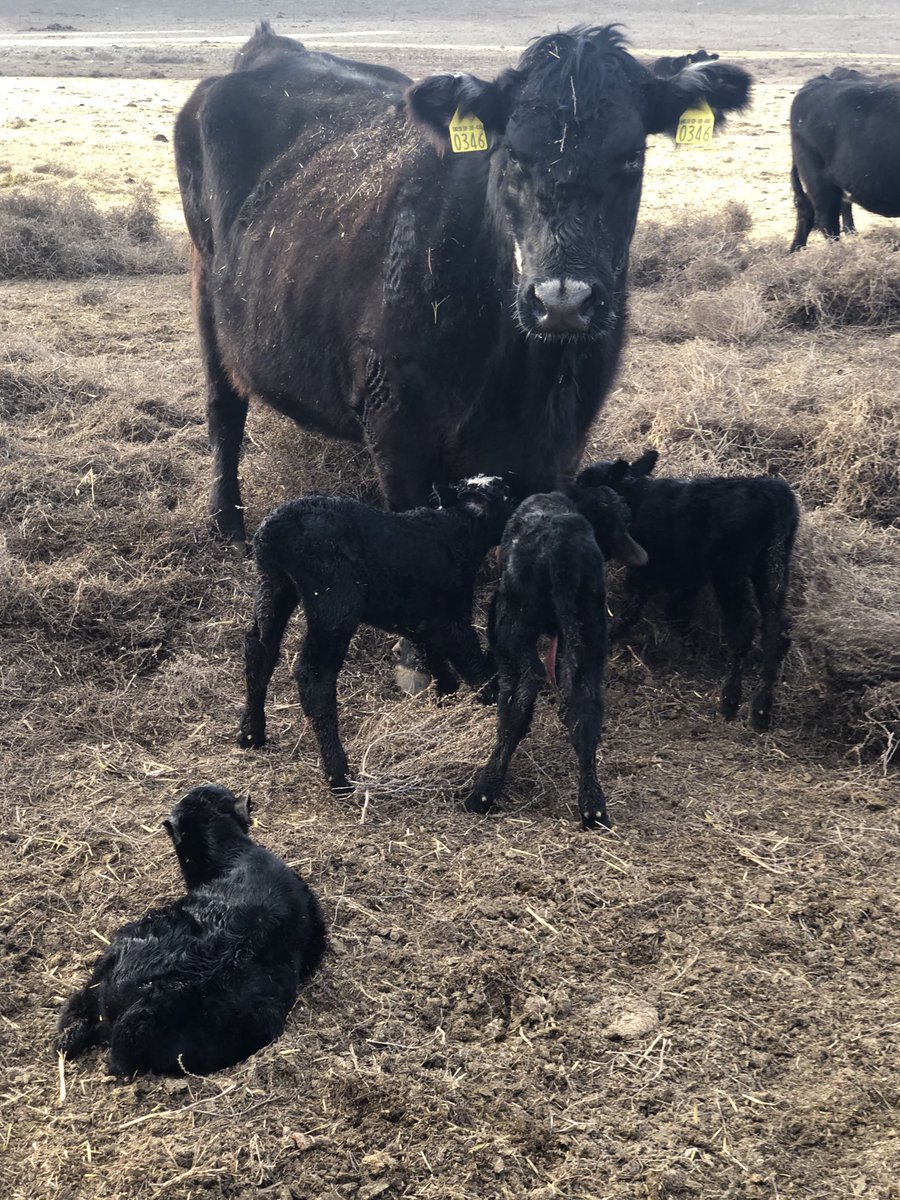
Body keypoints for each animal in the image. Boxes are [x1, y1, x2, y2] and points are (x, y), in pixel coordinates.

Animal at [175, 22, 752, 543]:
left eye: (633, 156)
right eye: (512, 152)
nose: (563, 302)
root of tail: (267, 48)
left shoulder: (563, 443)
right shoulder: (398, 433)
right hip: (204, 282)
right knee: (224, 406)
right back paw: (226, 523)